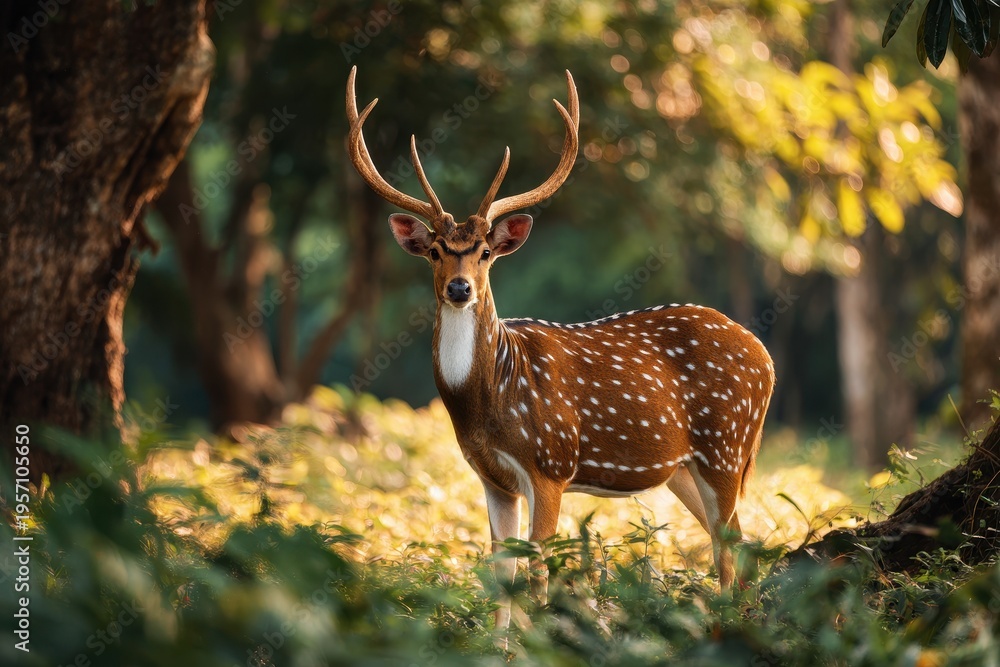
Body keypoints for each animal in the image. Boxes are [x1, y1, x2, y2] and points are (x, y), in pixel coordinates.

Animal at [346, 66, 776, 630]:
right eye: (436, 251)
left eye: (485, 253)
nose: (460, 288)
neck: (489, 398)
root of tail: (766, 356)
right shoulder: (492, 477)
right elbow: (500, 577)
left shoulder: (550, 464)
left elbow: (536, 575)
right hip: (686, 466)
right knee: (736, 545)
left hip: (727, 443)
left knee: (731, 550)